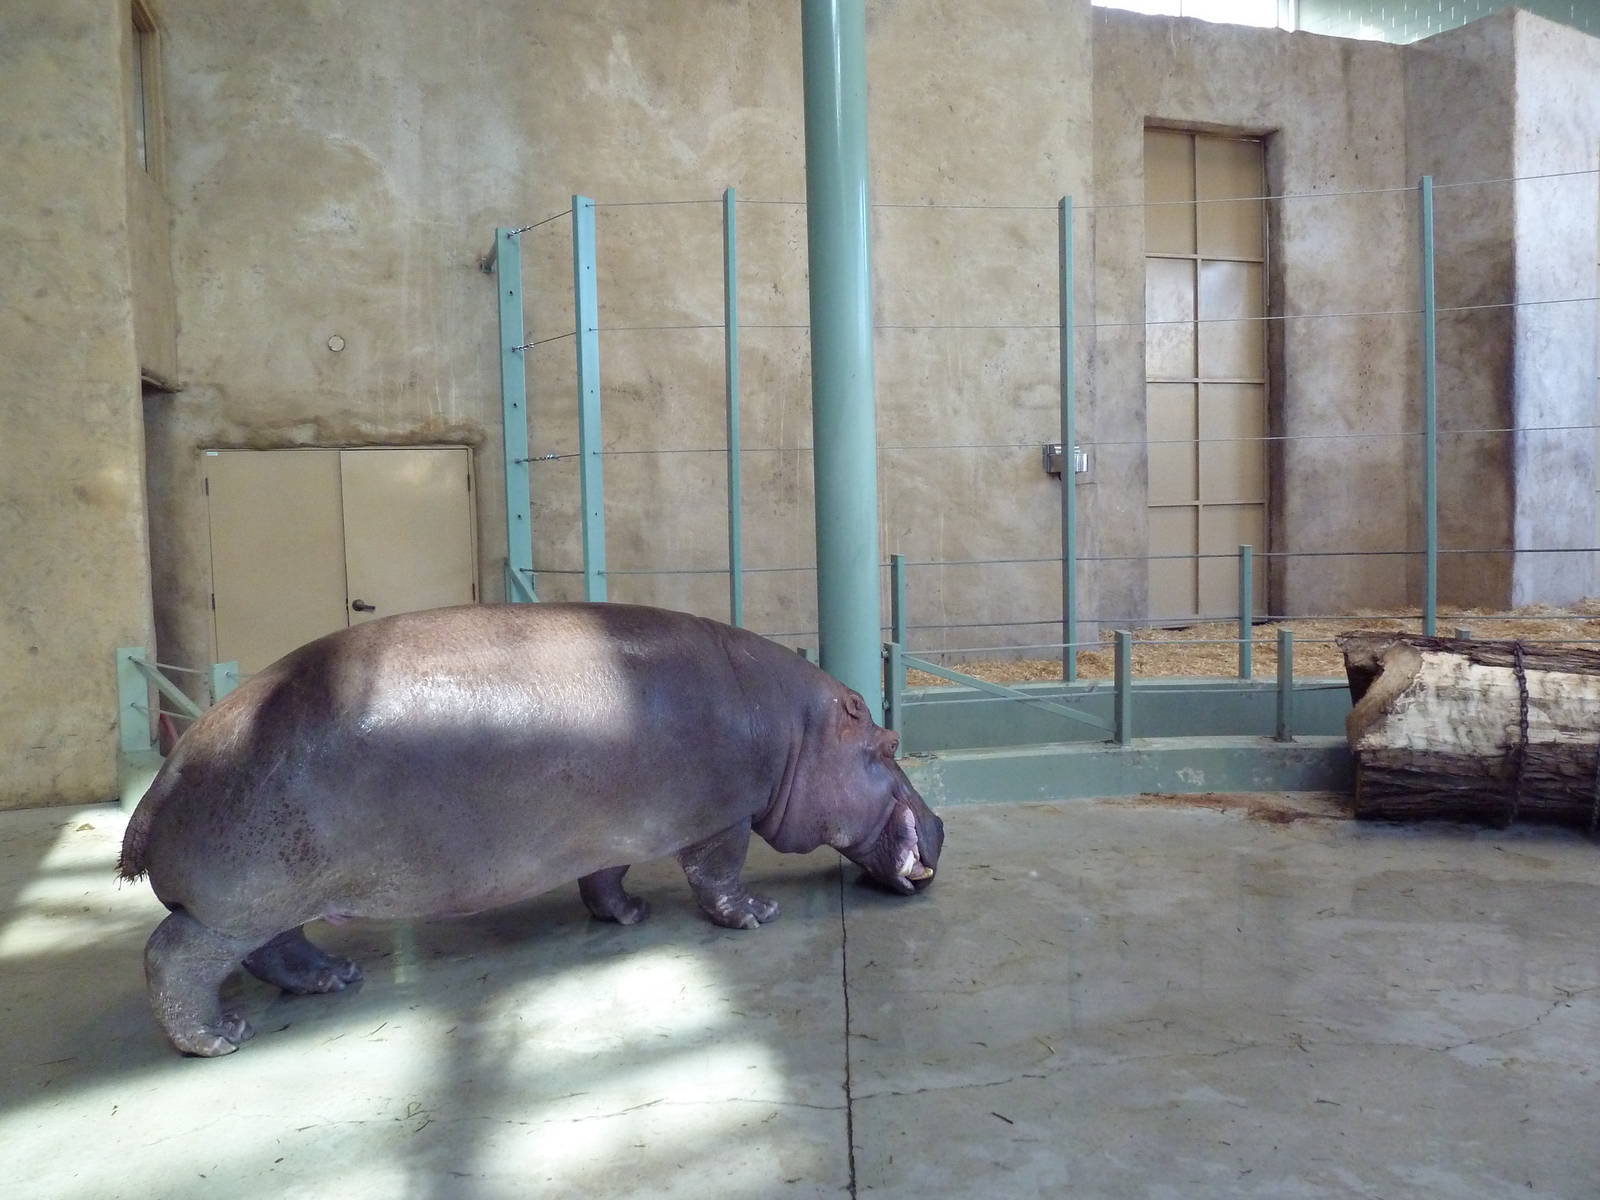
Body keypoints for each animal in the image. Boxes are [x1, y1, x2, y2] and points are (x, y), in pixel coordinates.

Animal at [118, 602, 943, 1057]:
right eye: (887, 746)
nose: (938, 824)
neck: (798, 729)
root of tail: (167, 776)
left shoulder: (612, 828)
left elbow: (605, 878)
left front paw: (629, 914)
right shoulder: (722, 816)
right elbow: (718, 875)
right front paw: (758, 914)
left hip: (277, 899)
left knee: (276, 951)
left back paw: (337, 979)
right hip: (238, 904)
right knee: (174, 959)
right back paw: (220, 1039)